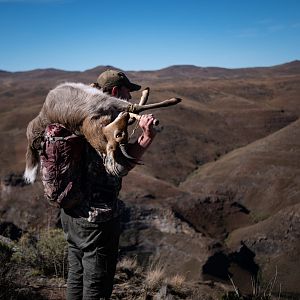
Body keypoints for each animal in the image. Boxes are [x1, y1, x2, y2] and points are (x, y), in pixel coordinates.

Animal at [24, 83, 180, 184]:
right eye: (119, 135)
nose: (123, 116)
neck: (87, 121)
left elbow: (133, 111)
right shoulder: (107, 102)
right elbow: (134, 107)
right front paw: (174, 100)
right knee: (133, 107)